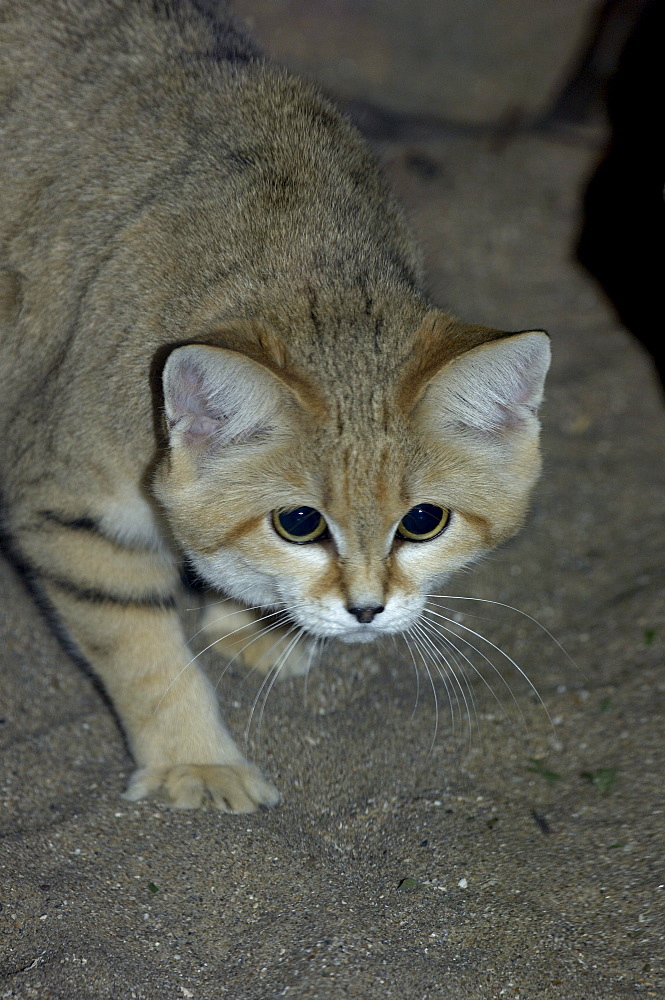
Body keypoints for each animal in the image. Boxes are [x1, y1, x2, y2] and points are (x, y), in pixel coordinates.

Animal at [0, 0, 548, 812]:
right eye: (299, 523)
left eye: (424, 521)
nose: (366, 610)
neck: (295, 256)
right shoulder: (73, 509)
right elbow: (145, 651)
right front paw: (197, 762)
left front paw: (248, 620)